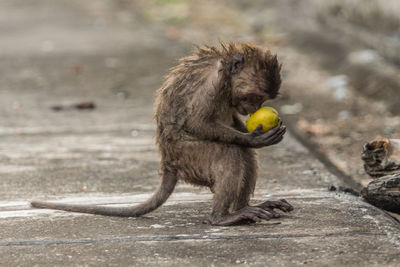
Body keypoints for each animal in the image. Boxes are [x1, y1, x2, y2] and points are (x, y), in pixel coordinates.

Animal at [31, 43, 292, 226]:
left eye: (261, 100)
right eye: (253, 97)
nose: (253, 109)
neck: (227, 71)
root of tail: (167, 161)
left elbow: (232, 123)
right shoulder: (215, 81)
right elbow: (197, 122)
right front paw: (253, 138)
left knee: (244, 155)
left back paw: (242, 208)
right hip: (188, 156)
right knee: (230, 153)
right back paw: (222, 217)